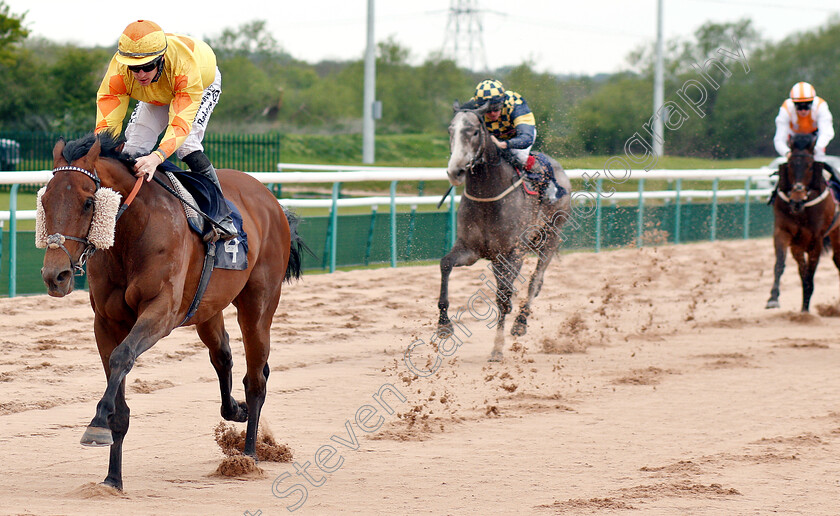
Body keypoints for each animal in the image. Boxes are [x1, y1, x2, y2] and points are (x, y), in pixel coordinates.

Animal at [39, 132, 304, 488]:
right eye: (45, 200)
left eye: (88, 202)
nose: (56, 275)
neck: (133, 230)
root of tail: (270, 200)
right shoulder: (106, 322)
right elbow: (117, 382)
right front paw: (112, 478)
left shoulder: (162, 312)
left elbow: (123, 356)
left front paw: (96, 425)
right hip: (207, 307)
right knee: (223, 355)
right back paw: (235, 410)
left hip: (258, 305)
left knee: (256, 378)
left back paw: (248, 455)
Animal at [440, 103, 572, 360]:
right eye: (451, 130)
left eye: (474, 132)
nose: (456, 171)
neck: (488, 196)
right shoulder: (470, 250)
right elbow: (445, 264)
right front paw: (443, 325)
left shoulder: (512, 252)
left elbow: (503, 296)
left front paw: (497, 348)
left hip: (551, 237)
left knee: (534, 281)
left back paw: (520, 322)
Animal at [768, 133, 840, 310]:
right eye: (790, 165)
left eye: (809, 166)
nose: (796, 200)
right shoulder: (786, 234)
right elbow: (781, 264)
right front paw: (773, 298)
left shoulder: (816, 239)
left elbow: (810, 274)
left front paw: (805, 309)